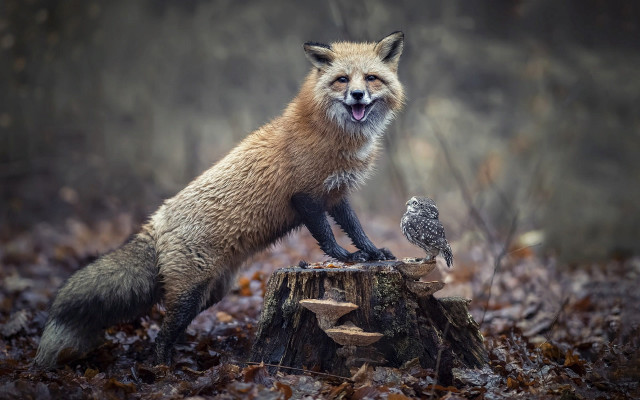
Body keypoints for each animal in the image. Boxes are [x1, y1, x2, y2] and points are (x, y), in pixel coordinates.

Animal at [35, 31, 406, 368]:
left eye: (371, 78)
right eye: (342, 79)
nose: (357, 95)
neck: (334, 137)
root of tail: (156, 222)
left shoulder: (335, 194)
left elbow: (355, 228)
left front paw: (373, 253)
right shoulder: (305, 196)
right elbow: (327, 237)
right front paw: (346, 257)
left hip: (210, 293)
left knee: (171, 327)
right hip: (189, 294)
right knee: (161, 334)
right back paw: (163, 370)